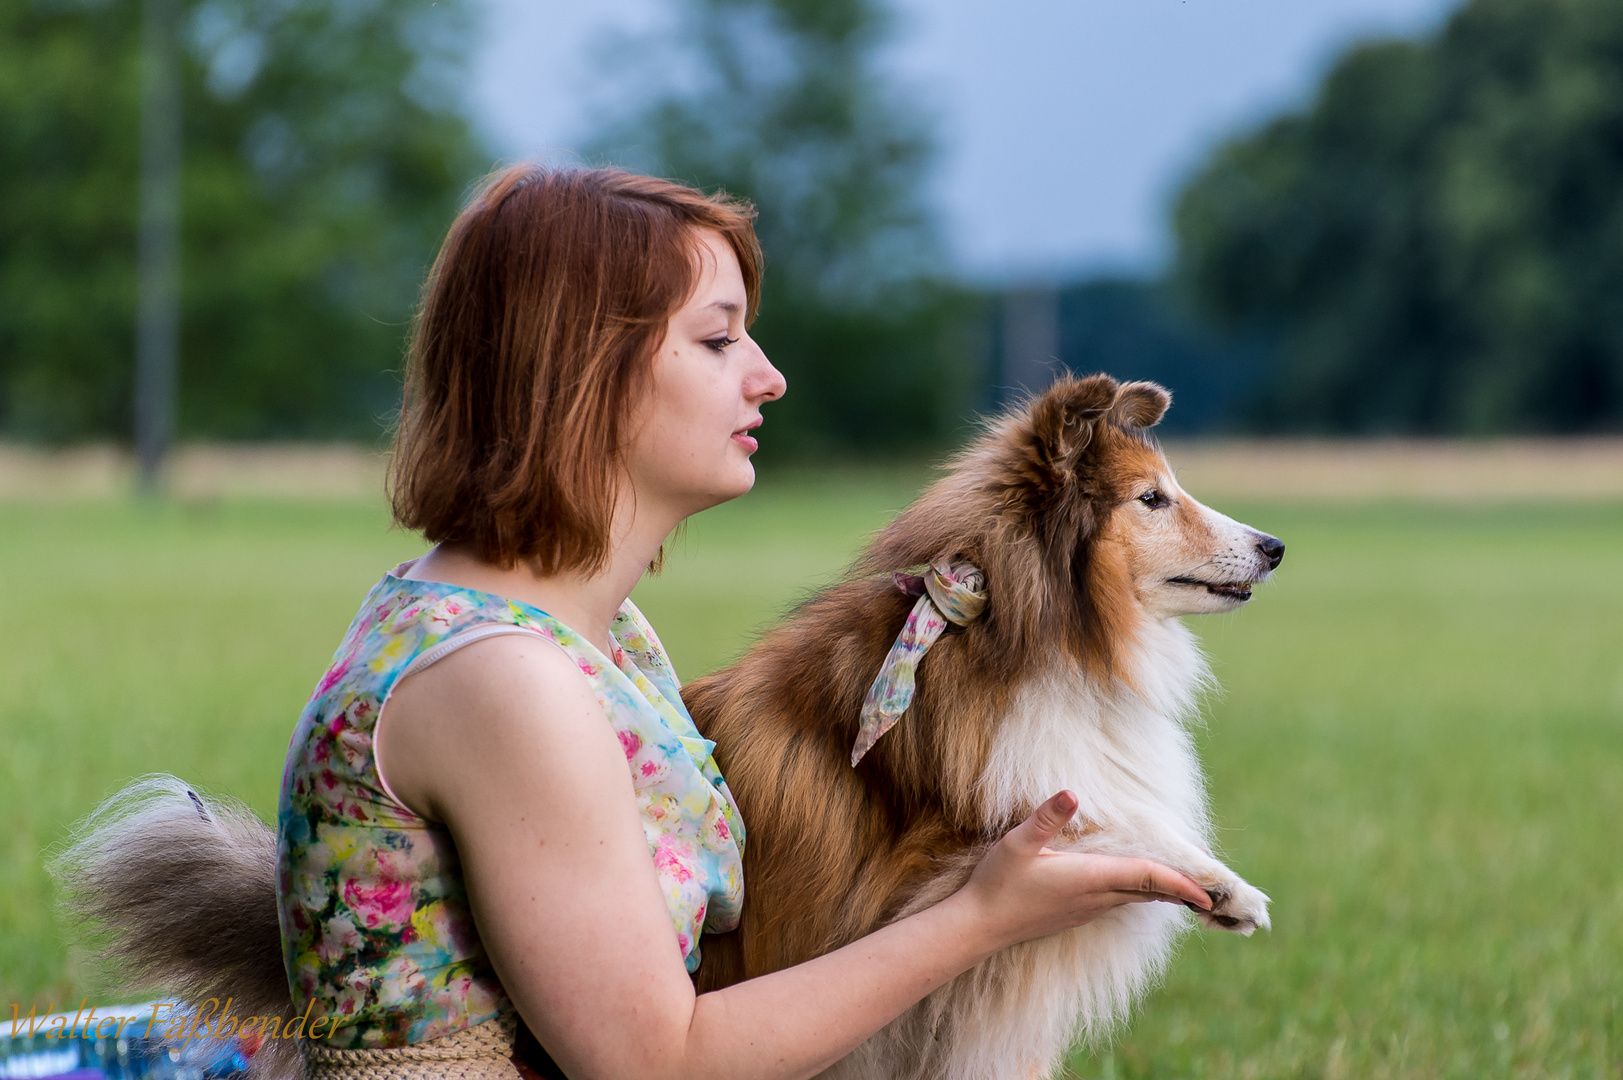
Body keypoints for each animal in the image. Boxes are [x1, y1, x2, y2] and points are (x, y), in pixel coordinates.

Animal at [684, 373, 1278, 1078]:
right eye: (1152, 499)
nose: (1275, 547)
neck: (1041, 643)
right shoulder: (921, 873)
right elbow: (1116, 816)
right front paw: (1228, 887)